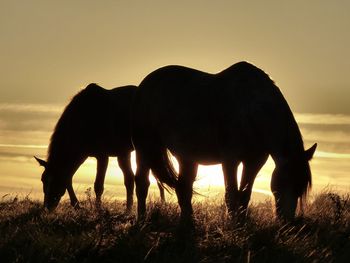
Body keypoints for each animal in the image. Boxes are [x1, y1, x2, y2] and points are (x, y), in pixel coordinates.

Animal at [35, 84, 165, 212]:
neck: (85, 119)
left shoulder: (102, 156)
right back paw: (129, 210)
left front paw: (97, 210)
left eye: (56, 179)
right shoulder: (81, 156)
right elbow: (69, 179)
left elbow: (98, 186)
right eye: (43, 179)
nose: (47, 207)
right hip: (124, 153)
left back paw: (162, 204)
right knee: (130, 179)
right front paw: (76, 205)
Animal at [131, 62, 318, 221]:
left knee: (183, 188)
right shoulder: (230, 160)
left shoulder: (254, 162)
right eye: (285, 182)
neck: (249, 109)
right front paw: (233, 226)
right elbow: (231, 195)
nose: (287, 222)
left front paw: (241, 224)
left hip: (187, 157)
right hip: (144, 147)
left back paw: (188, 222)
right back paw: (142, 220)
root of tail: (144, 86)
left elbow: (244, 195)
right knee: (142, 183)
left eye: (301, 188)